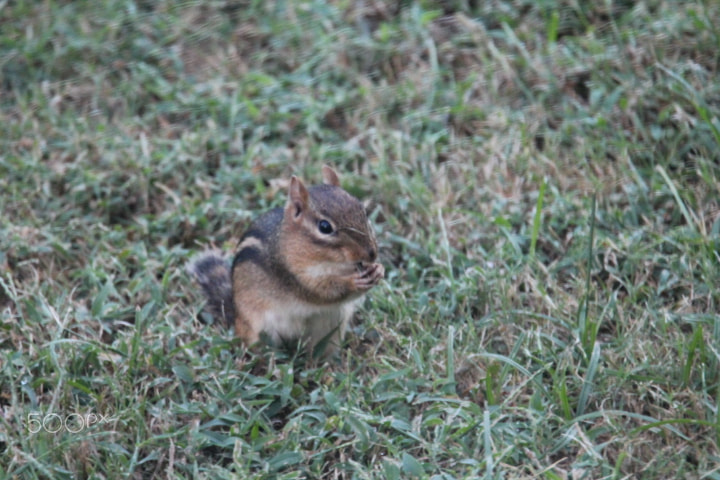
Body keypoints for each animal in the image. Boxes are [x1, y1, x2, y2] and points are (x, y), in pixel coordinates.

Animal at [187, 165, 384, 356]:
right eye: (325, 227)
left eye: (363, 210)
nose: (371, 253)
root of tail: (236, 315)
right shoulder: (292, 275)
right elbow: (324, 291)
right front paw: (353, 282)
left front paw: (378, 270)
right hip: (257, 331)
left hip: (331, 329)